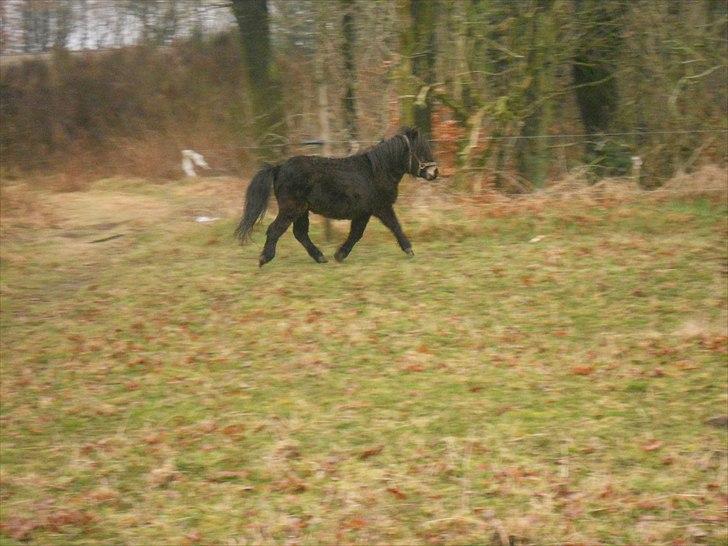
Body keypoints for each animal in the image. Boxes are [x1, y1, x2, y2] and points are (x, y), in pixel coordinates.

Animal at [236, 126, 436, 266]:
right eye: (421, 150)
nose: (435, 173)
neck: (376, 171)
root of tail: (279, 168)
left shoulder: (364, 213)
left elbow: (356, 234)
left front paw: (340, 255)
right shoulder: (381, 208)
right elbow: (395, 227)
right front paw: (409, 249)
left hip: (302, 211)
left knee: (300, 233)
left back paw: (320, 257)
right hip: (292, 209)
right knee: (275, 230)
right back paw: (264, 258)